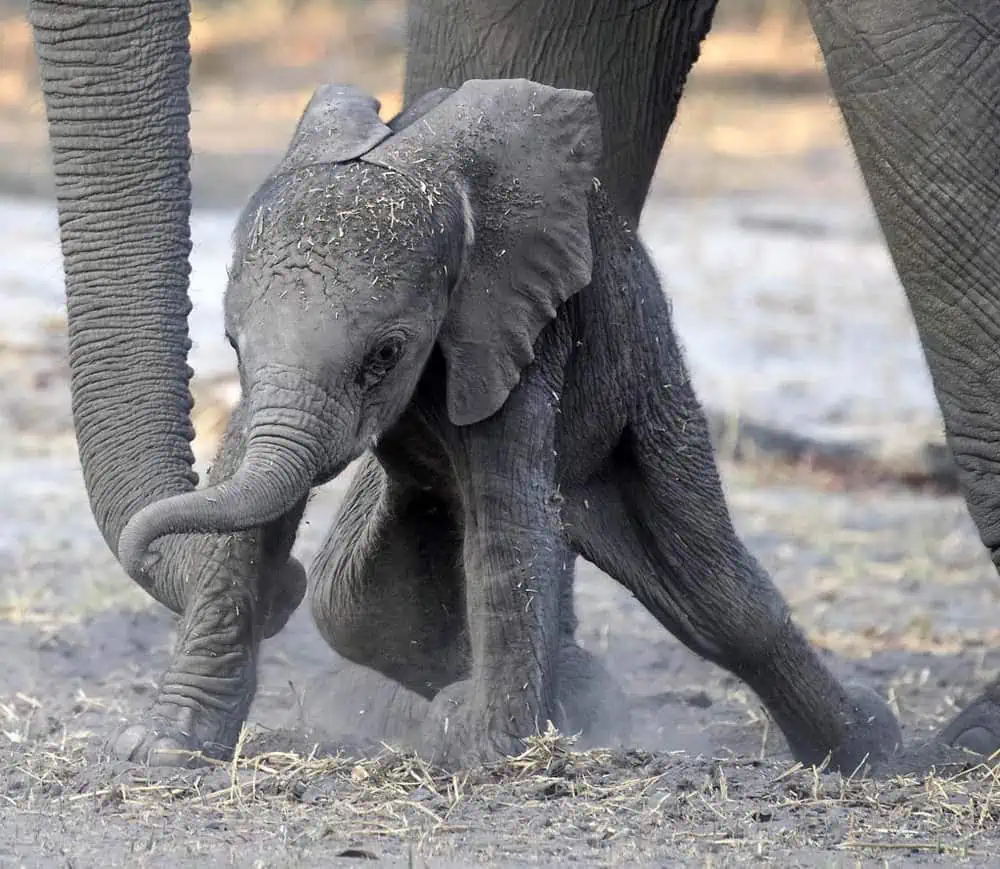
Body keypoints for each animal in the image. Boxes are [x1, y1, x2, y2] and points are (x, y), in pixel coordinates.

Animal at [25, 0, 1000, 765]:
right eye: (229, 341)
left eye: (387, 355)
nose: (283, 591)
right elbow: (252, 506)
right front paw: (160, 749)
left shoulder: (515, 348)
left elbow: (505, 526)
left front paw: (488, 749)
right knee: (380, 589)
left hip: (653, 392)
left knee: (714, 592)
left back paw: (887, 745)